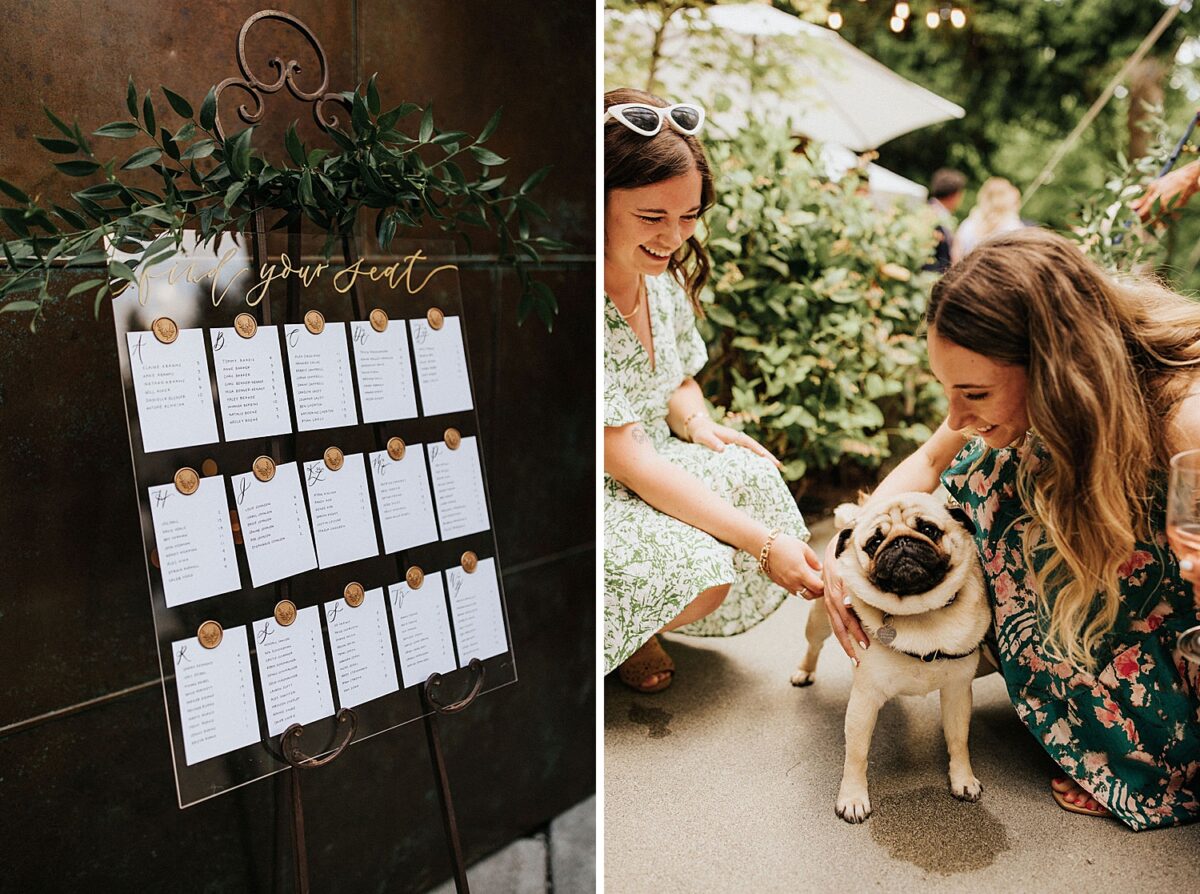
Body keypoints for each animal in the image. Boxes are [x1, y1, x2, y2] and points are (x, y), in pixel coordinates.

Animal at [792, 494, 988, 820]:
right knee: (813, 646)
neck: (921, 613)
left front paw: (963, 779)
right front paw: (853, 797)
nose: (901, 542)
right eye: (874, 542)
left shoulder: (957, 691)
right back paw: (803, 671)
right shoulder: (864, 699)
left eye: (929, 530)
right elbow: (856, 754)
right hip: (820, 620)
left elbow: (959, 740)